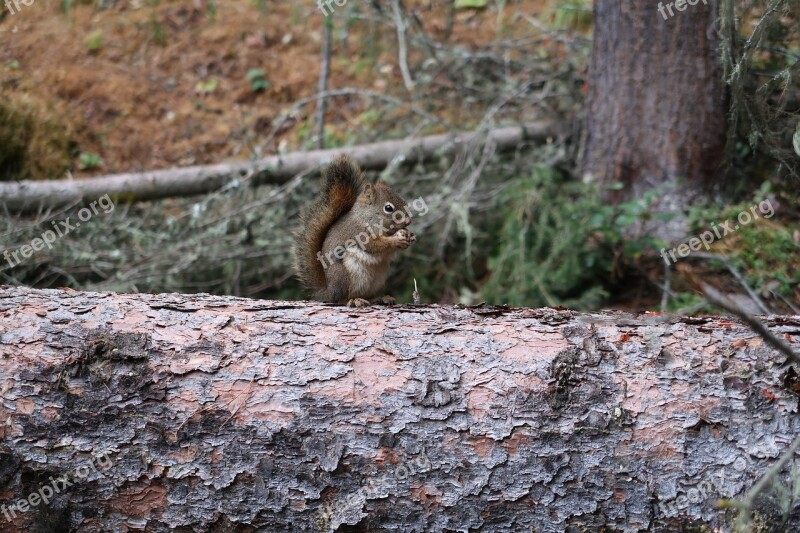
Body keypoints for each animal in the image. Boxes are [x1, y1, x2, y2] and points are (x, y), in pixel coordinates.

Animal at [296, 154, 418, 308]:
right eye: (388, 208)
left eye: (404, 202)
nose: (408, 222)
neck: (366, 218)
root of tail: (328, 292)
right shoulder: (357, 234)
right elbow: (374, 246)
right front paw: (396, 240)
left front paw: (410, 235)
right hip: (344, 275)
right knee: (340, 300)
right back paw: (353, 300)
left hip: (377, 280)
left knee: (367, 296)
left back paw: (381, 298)